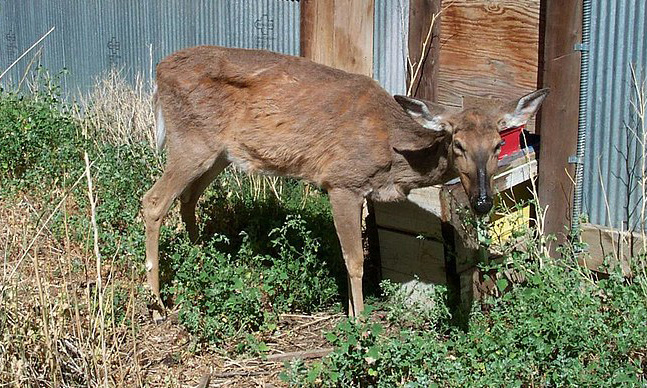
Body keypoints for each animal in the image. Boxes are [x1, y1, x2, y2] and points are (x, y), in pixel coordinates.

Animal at [142, 45, 548, 322]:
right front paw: (361, 324)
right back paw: (159, 305)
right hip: (191, 142)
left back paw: (201, 262)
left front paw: (354, 314)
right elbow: (355, 260)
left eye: (498, 145)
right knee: (153, 201)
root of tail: (159, 71)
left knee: (187, 199)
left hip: (219, 154)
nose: (482, 202)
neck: (393, 154)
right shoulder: (341, 182)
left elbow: (350, 255)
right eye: (457, 144)